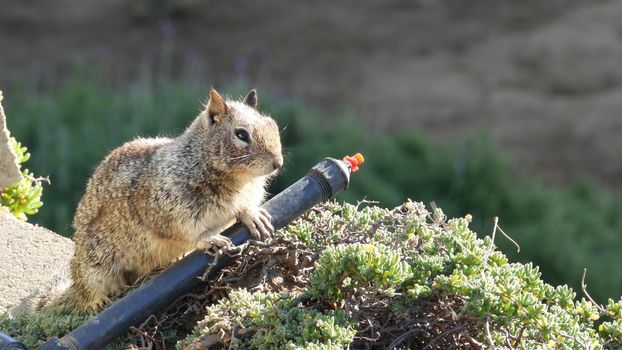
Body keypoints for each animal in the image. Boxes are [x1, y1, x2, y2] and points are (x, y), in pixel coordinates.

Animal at [47, 89, 282, 310]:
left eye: (273, 124)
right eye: (241, 134)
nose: (277, 163)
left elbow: (242, 210)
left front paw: (252, 215)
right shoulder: (168, 209)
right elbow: (186, 233)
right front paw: (209, 239)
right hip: (95, 262)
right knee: (85, 287)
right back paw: (94, 300)